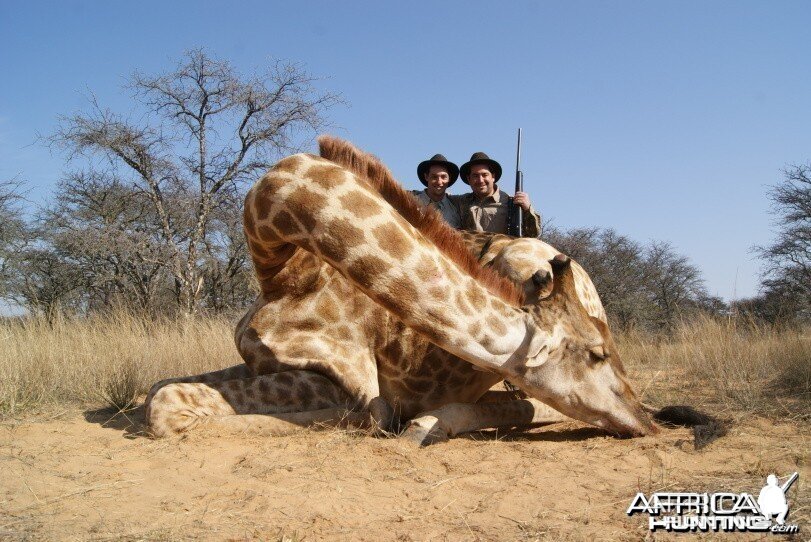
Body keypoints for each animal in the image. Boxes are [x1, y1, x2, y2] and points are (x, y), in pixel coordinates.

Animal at [143, 137, 656, 446]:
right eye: (596, 354)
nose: (646, 421)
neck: (280, 270)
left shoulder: (344, 377)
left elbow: (166, 406)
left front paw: (379, 419)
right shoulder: (259, 361)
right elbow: (157, 389)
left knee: (527, 402)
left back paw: (425, 425)